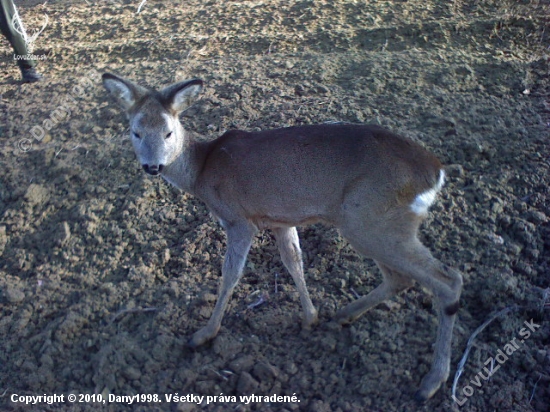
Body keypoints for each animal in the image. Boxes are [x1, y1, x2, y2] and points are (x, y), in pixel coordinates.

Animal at [103, 72, 466, 400]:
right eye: (135, 132)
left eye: (168, 132)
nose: (153, 167)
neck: (203, 172)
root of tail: (436, 174)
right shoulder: (280, 218)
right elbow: (294, 262)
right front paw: (310, 318)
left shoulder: (238, 219)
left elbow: (230, 274)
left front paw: (204, 333)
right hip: (374, 223)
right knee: (400, 278)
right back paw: (344, 315)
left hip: (370, 219)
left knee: (446, 279)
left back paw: (431, 383)